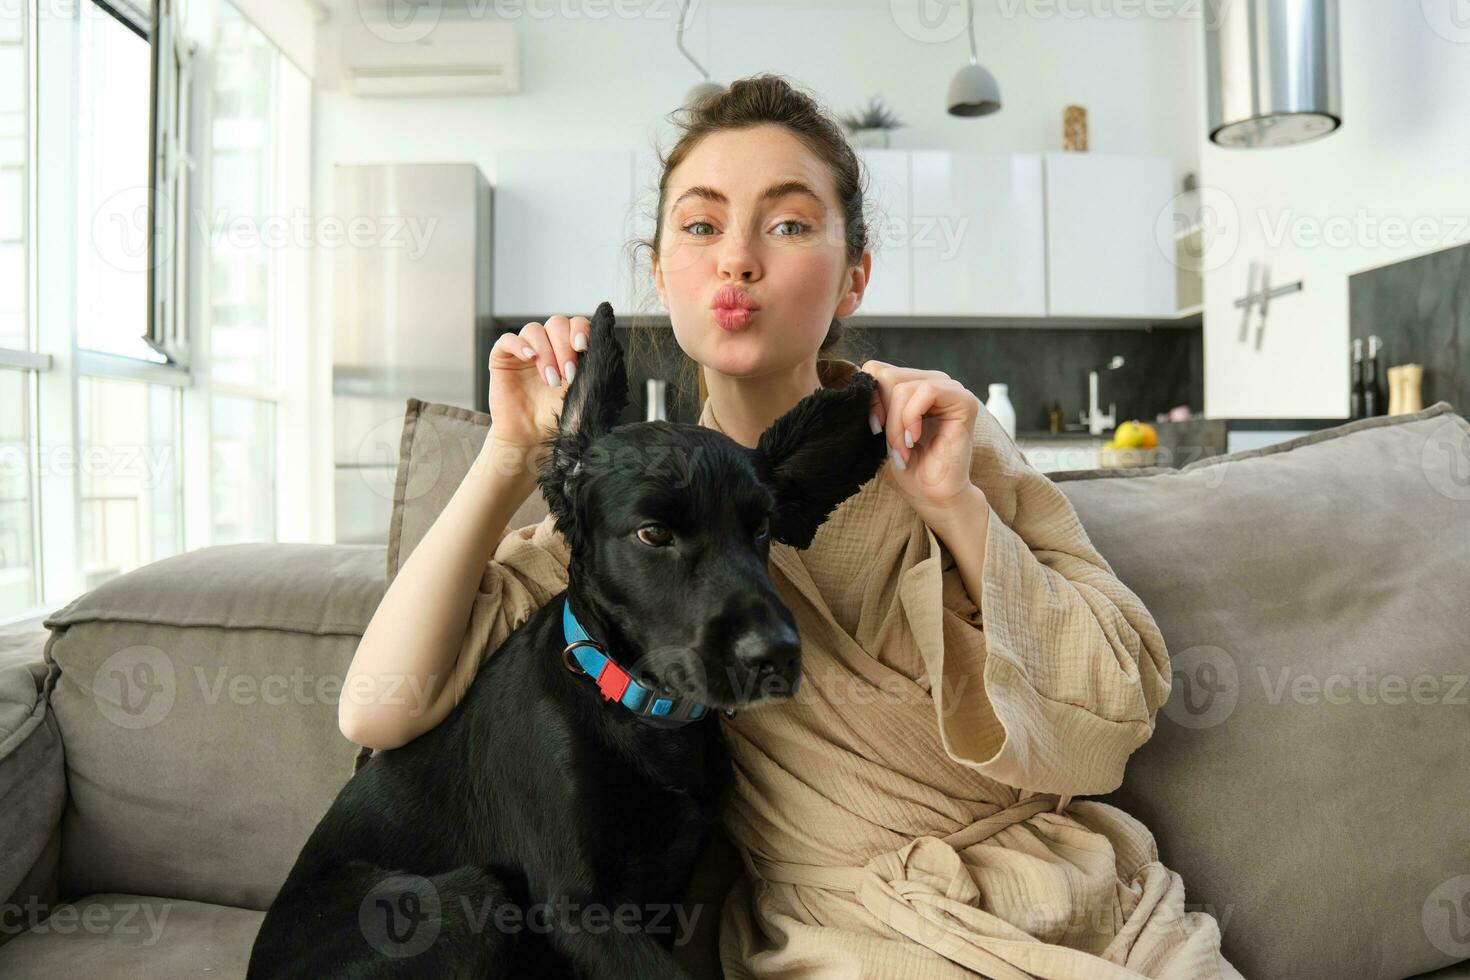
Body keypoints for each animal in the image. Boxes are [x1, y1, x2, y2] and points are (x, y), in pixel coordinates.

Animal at [244, 302, 882, 975]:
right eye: (653, 533)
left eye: (761, 529)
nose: (775, 656)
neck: (634, 707)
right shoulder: (583, 912)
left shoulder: (665, 895)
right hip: (468, 896)